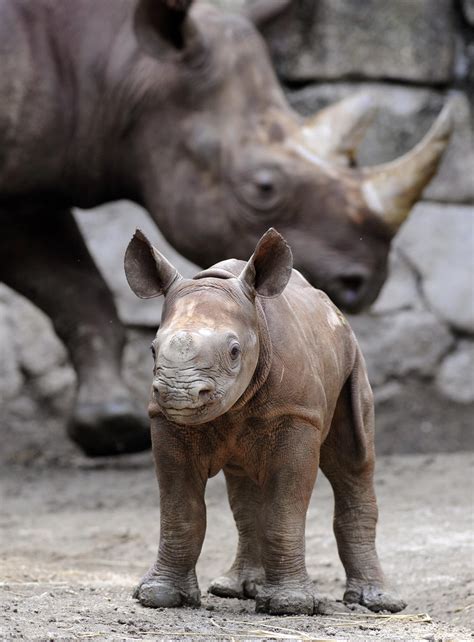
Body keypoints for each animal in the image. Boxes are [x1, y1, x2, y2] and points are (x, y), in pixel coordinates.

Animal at [0, 0, 452, 456]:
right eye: (264, 187)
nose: (365, 281)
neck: (118, 66)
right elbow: (68, 283)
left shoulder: (29, 190)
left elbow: (74, 286)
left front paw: (111, 425)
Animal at [124, 228, 406, 612]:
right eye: (152, 349)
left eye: (234, 352)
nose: (178, 393)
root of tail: (331, 306)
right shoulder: (166, 421)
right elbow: (180, 511)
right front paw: (160, 596)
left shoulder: (297, 415)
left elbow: (283, 511)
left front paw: (290, 605)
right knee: (244, 487)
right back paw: (235, 588)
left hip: (352, 358)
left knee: (354, 463)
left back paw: (379, 602)